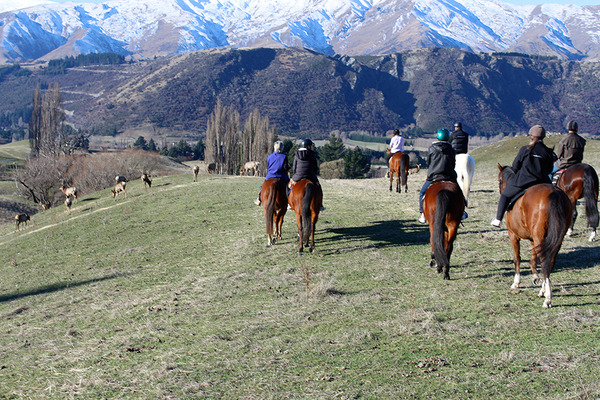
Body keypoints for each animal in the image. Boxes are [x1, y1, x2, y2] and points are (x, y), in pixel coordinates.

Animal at [496, 164, 572, 308]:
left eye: (499, 181)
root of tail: (554, 192)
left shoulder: (512, 235)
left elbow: (517, 258)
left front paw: (516, 282)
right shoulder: (532, 239)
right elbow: (533, 260)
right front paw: (536, 278)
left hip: (539, 236)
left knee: (545, 261)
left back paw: (547, 298)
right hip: (556, 238)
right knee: (550, 261)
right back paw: (543, 291)